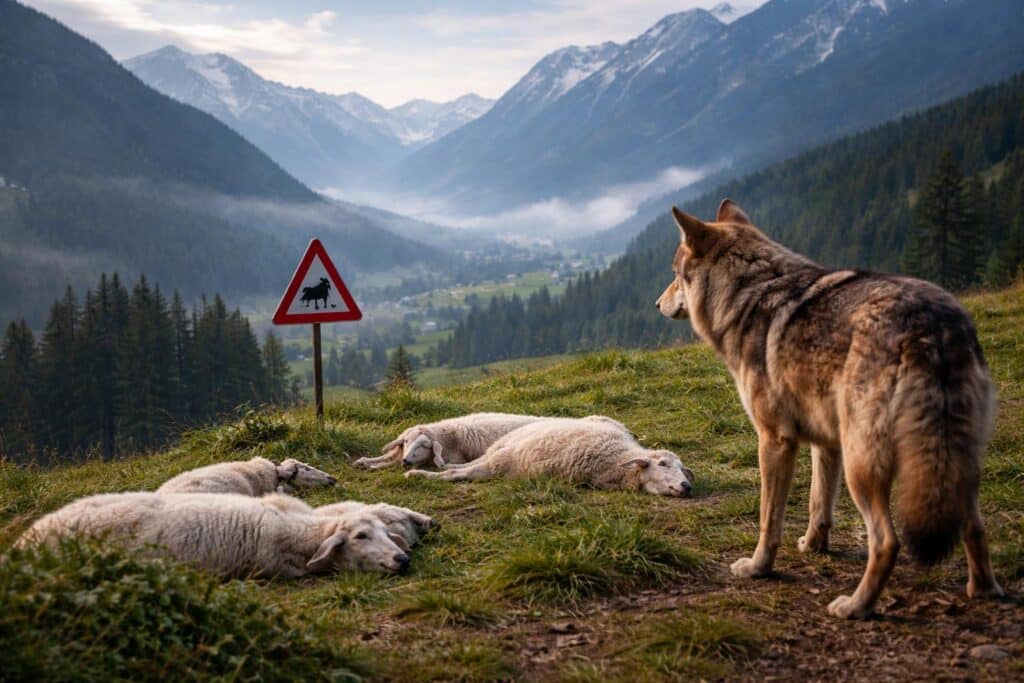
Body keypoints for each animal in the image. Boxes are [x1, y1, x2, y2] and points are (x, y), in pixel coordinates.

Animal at [405, 418, 694, 497]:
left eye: (683, 468)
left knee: (463, 466)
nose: (686, 485)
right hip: (500, 457)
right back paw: (417, 474)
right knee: (458, 473)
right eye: (663, 464)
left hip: (498, 455)